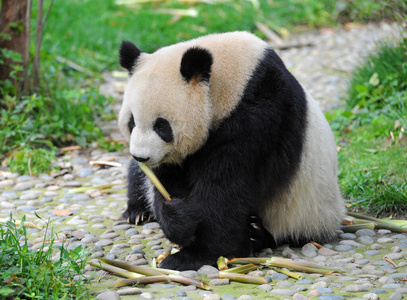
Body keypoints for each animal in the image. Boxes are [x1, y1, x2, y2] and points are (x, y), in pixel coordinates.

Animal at [117, 31, 344, 270]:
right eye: (132, 122)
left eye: (161, 126)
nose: (141, 155)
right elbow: (167, 181)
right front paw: (179, 221)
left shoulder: (261, 115)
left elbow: (227, 188)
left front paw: (195, 255)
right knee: (137, 175)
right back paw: (137, 212)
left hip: (305, 213)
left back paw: (255, 233)